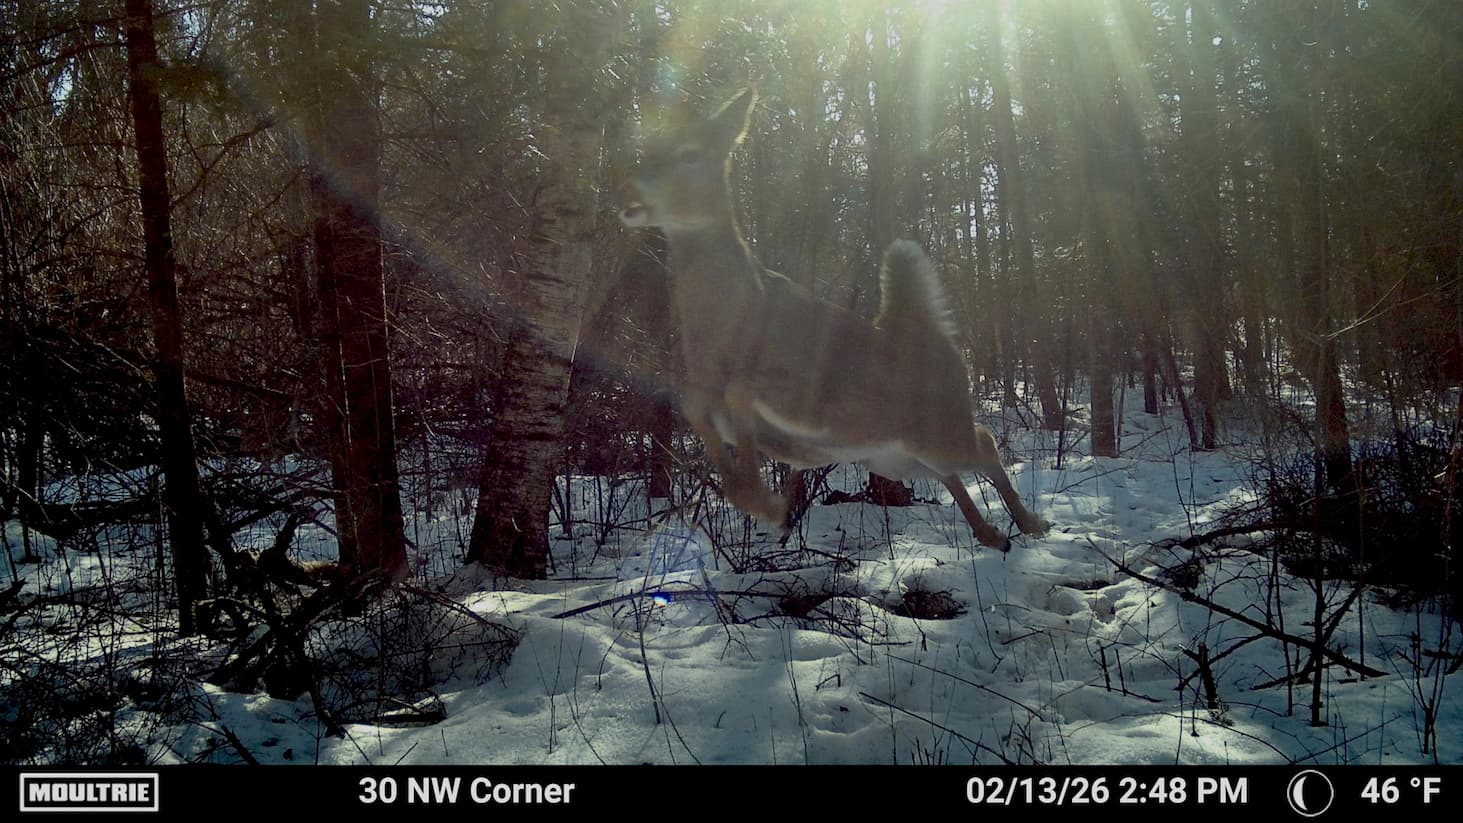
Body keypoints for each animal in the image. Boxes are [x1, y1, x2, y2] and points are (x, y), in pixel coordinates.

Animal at [618, 89, 1049, 550]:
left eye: (690, 154)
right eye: (650, 142)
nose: (627, 182)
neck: (731, 323)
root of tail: (927, 334)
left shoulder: (815, 396)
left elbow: (741, 390)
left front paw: (769, 506)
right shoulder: (705, 400)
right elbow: (694, 405)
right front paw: (768, 506)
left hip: (939, 431)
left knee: (985, 444)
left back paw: (1030, 524)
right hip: (894, 457)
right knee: (951, 471)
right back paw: (992, 535)